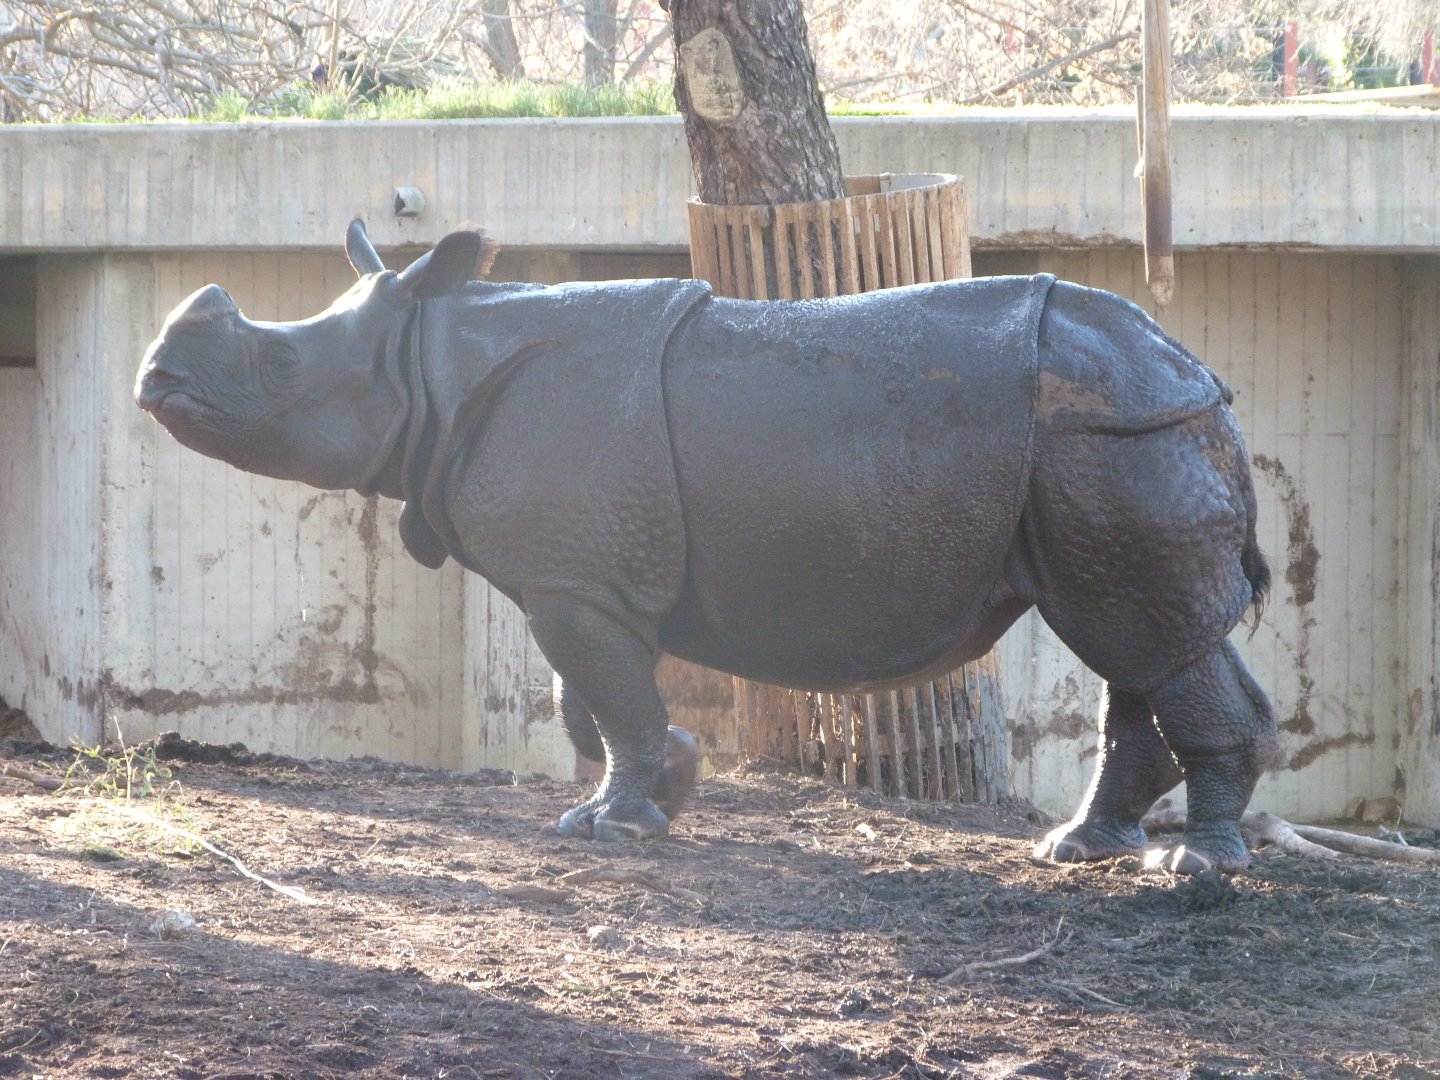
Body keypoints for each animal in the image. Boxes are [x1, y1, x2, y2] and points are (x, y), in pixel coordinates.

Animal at [135, 220, 1276, 874]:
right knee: (1134, 640)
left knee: (1142, 637)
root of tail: (1200, 374)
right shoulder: (584, 572)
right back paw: (1079, 850)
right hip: (1113, 442)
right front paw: (660, 789)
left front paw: (613, 829)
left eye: (282, 364)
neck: (431, 358)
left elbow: (606, 694)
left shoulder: (571, 576)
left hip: (1112, 436)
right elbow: (593, 698)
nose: (153, 381)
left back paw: (1197, 873)